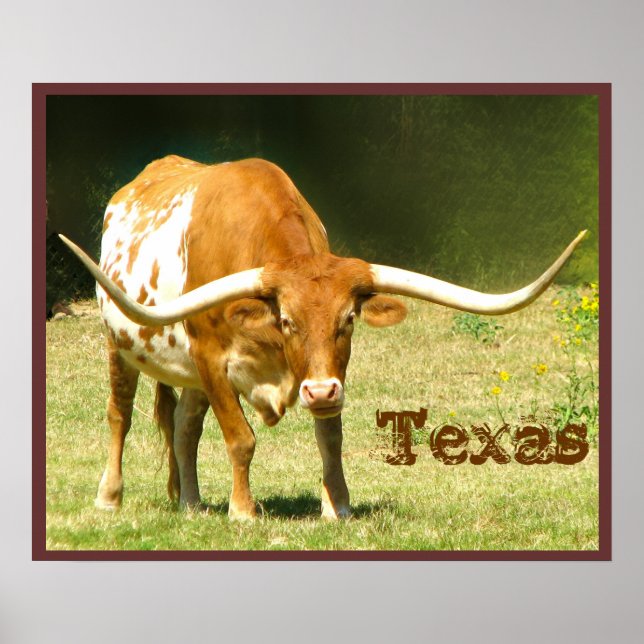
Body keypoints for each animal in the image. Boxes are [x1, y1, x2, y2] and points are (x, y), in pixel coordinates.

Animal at [61, 155, 586, 521]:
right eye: (286, 320)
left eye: (348, 319)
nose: (318, 391)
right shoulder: (211, 357)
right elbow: (240, 439)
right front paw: (243, 512)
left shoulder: (326, 374)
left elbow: (330, 437)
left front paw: (339, 505)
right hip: (120, 347)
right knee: (120, 415)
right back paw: (110, 497)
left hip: (189, 375)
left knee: (183, 426)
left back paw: (191, 503)